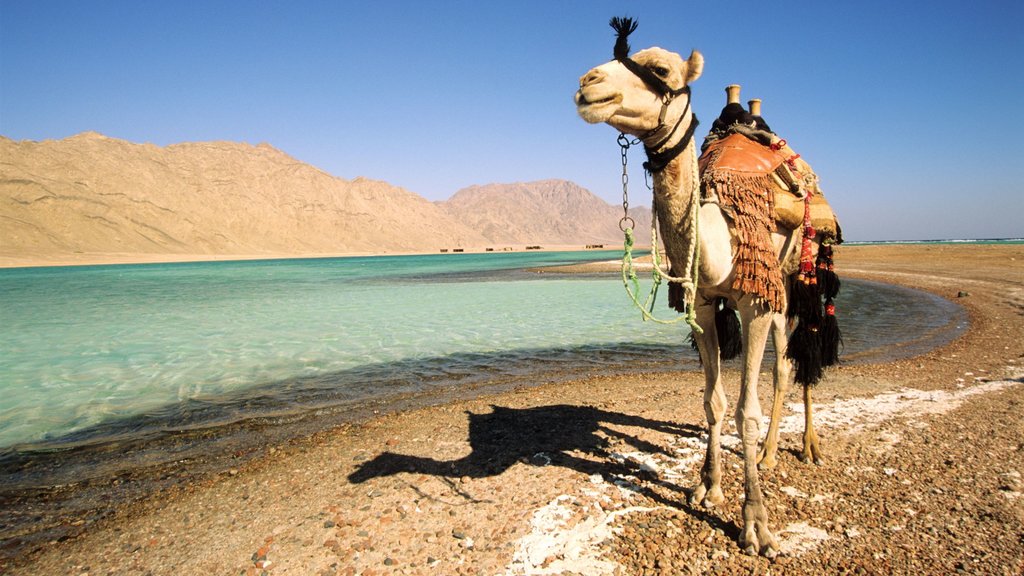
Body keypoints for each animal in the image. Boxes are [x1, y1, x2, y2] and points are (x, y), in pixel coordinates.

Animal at [573, 19, 843, 557]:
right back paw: (768, 454)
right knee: (783, 363)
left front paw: (756, 524)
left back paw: (800, 448)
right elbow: (713, 402)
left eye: (660, 69)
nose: (588, 83)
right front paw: (708, 486)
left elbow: (745, 411)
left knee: (794, 356)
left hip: (797, 277)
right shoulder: (701, 303)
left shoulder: (755, 301)